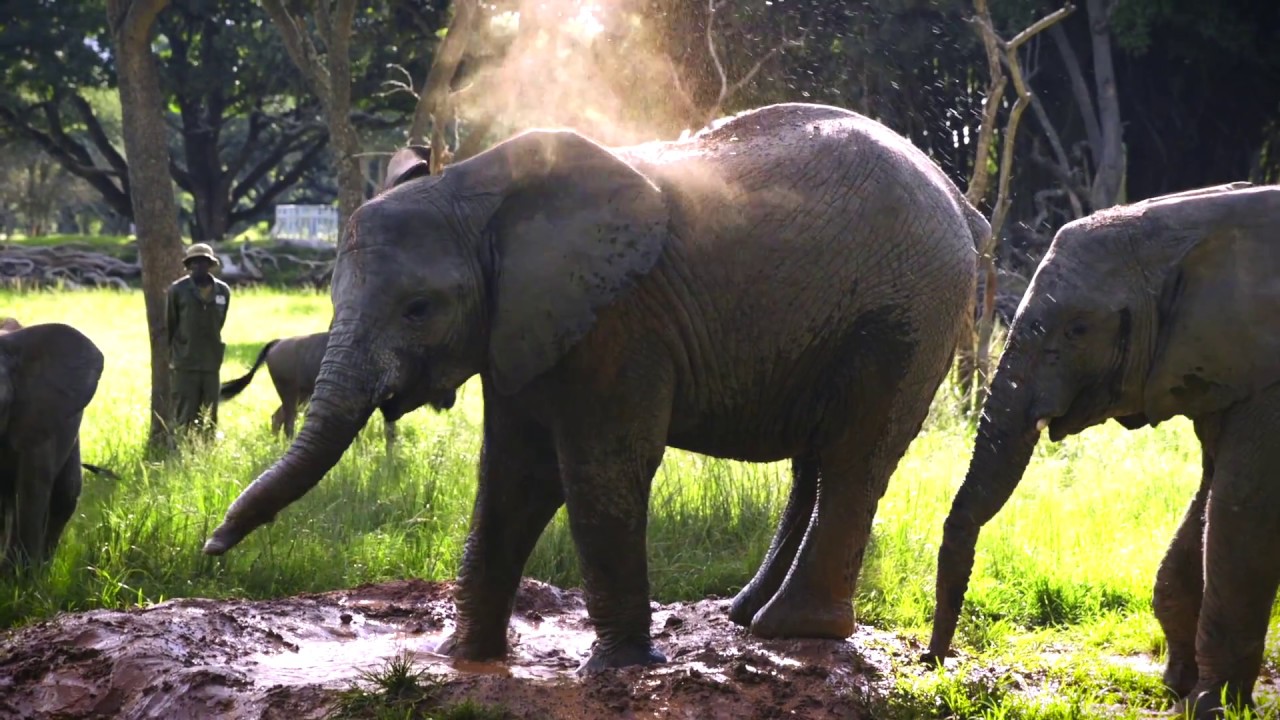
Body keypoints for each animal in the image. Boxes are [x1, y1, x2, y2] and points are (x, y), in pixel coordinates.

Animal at [0, 322, 105, 573]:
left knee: (66, 493)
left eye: (2, 403)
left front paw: (18, 578)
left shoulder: (39, 419)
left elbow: (31, 488)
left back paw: (44, 568)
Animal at [924, 182, 1280, 718]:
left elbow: (1241, 513)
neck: (1196, 224)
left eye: (1077, 330)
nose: (932, 663)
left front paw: (1210, 706)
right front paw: (1176, 687)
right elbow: (1208, 502)